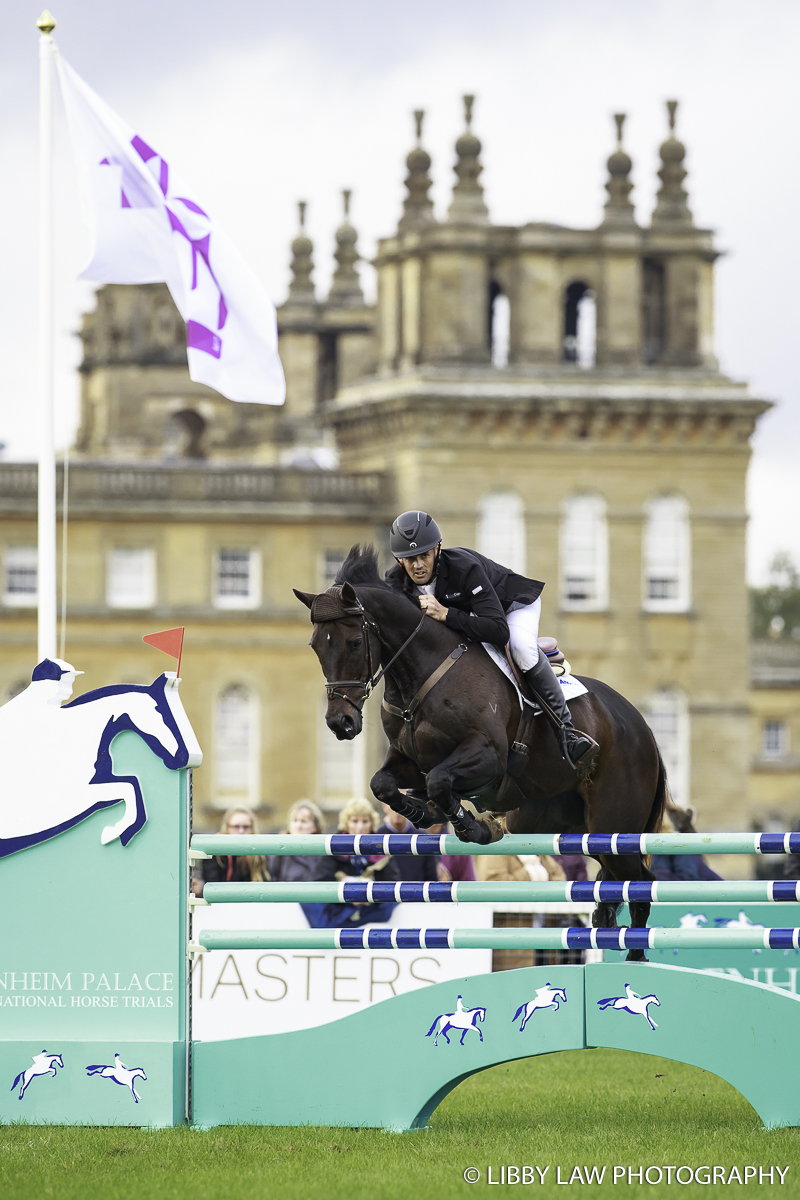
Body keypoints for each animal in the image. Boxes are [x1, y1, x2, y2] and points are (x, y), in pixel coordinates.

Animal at [293, 544, 671, 964]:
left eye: (355, 643)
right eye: (315, 646)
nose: (340, 723)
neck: (421, 671)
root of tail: (644, 730)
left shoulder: (488, 757)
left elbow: (441, 781)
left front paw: (472, 825)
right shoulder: (409, 761)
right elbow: (384, 785)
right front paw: (423, 813)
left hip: (614, 822)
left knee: (640, 884)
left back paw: (635, 960)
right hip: (577, 827)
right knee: (617, 884)